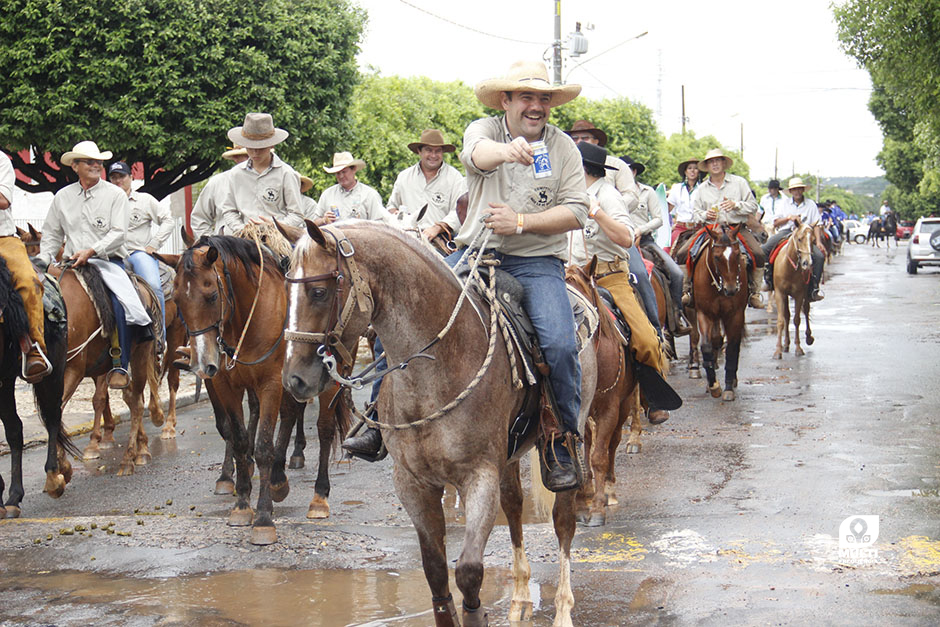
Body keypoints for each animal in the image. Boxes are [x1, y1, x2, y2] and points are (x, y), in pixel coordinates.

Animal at [282, 222, 600, 627]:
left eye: (319, 292)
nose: (294, 379)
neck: (435, 370)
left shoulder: (478, 477)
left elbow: (468, 572)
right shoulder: (413, 483)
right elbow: (435, 571)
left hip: (570, 433)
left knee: (563, 520)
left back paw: (561, 609)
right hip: (509, 456)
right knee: (514, 507)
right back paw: (519, 598)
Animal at [564, 260, 640, 528]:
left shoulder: (609, 409)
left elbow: (599, 456)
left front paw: (597, 508)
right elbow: (582, 455)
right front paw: (581, 504)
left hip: (624, 406)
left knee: (613, 443)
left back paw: (608, 490)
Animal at [688, 226, 744, 402]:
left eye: (737, 254)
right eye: (717, 257)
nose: (731, 289)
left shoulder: (735, 314)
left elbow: (732, 348)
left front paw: (728, 387)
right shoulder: (704, 313)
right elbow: (706, 345)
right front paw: (713, 385)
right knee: (714, 340)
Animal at [772, 221, 816, 358]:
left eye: (813, 240)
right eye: (800, 239)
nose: (807, 263)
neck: (789, 269)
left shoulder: (799, 294)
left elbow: (797, 320)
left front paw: (798, 348)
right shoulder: (779, 293)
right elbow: (781, 320)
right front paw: (778, 350)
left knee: (806, 310)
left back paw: (808, 337)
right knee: (786, 315)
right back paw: (786, 344)